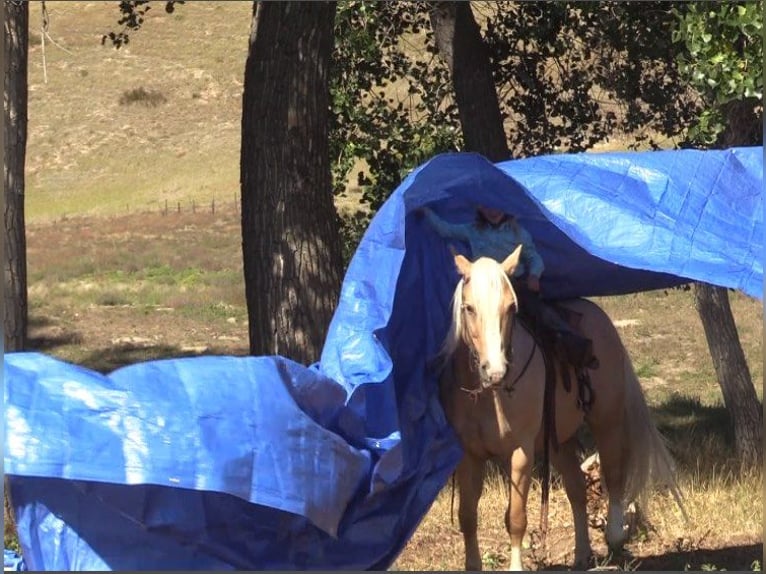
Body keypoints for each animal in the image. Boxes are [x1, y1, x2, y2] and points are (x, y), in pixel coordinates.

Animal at [438, 246, 684, 572]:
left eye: (511, 308)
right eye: (468, 308)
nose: (496, 372)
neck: (491, 397)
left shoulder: (521, 453)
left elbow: (516, 519)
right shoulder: (470, 455)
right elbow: (467, 516)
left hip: (607, 420)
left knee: (614, 473)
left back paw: (614, 534)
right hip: (559, 440)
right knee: (577, 488)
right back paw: (581, 554)